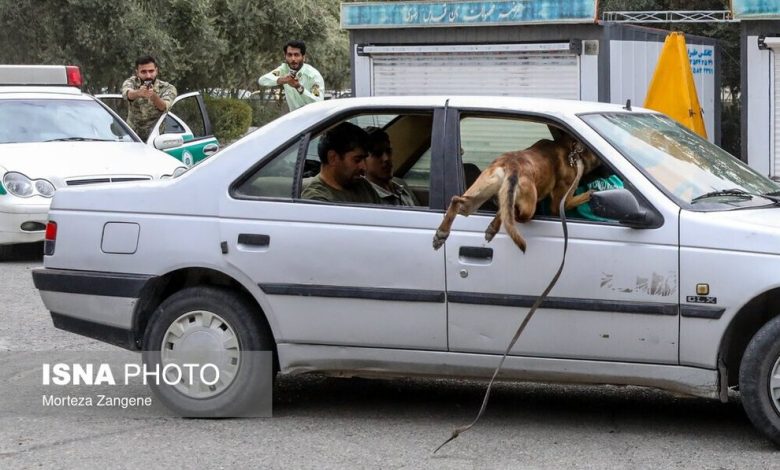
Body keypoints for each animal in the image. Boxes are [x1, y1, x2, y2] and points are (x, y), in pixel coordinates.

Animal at [430, 135, 600, 253]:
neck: (571, 151)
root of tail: (512, 164)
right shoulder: (561, 202)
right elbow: (578, 198)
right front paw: (592, 193)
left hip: (478, 194)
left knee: (458, 200)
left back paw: (442, 234)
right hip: (528, 207)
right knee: (511, 214)